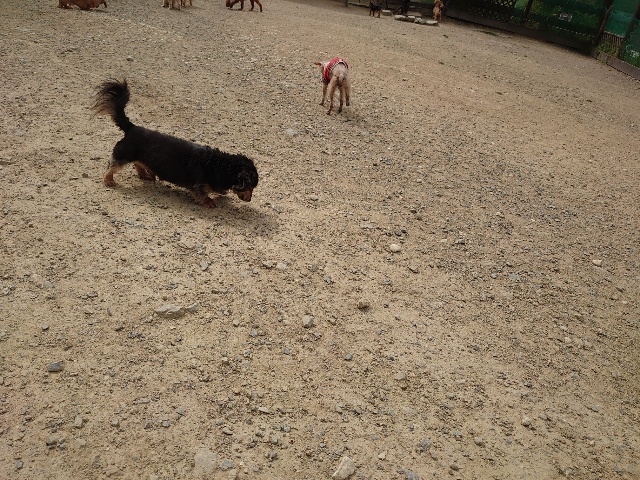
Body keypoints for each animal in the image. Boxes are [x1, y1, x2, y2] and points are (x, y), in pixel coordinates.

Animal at [93, 79, 259, 207]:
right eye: (250, 187)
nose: (250, 200)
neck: (222, 166)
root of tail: (131, 127)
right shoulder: (198, 184)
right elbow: (202, 194)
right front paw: (209, 201)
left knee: (137, 163)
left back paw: (144, 174)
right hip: (123, 155)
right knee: (112, 166)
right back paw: (109, 180)